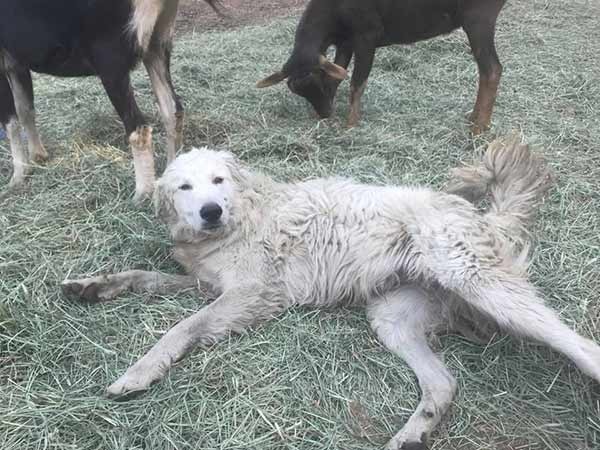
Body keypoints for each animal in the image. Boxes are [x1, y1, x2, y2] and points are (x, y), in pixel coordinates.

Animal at [0, 0, 219, 200]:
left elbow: (10, 121)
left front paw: (18, 177)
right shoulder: (17, 62)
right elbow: (25, 110)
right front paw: (38, 156)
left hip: (111, 62)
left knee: (138, 127)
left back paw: (141, 195)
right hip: (156, 44)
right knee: (172, 110)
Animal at [62, 137, 600, 450]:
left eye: (218, 181)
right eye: (184, 188)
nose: (211, 211)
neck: (243, 216)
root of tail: (482, 216)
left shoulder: (253, 294)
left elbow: (181, 327)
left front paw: (139, 372)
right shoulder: (209, 283)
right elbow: (143, 276)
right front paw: (93, 285)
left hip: (481, 284)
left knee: (578, 343)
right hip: (392, 319)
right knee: (443, 384)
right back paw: (412, 436)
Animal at [258, 0, 506, 133]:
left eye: (316, 80)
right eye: (297, 89)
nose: (325, 113)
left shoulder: (367, 37)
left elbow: (357, 83)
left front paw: (350, 126)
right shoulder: (345, 43)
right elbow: (338, 75)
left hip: (478, 19)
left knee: (492, 69)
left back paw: (478, 128)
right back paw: (474, 118)